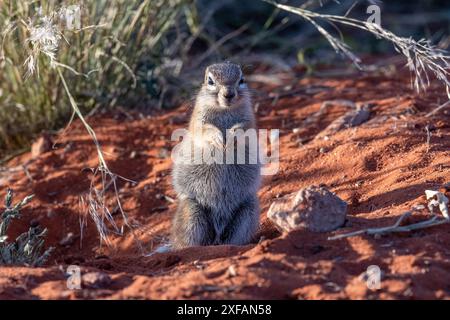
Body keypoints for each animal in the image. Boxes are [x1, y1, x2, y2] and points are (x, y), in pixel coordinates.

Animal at [171, 62, 260, 248]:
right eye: (210, 81)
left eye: (241, 79)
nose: (229, 94)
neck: (224, 109)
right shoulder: (199, 120)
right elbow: (205, 129)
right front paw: (219, 139)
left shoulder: (249, 120)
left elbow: (243, 128)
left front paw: (231, 138)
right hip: (192, 212)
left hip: (248, 209)